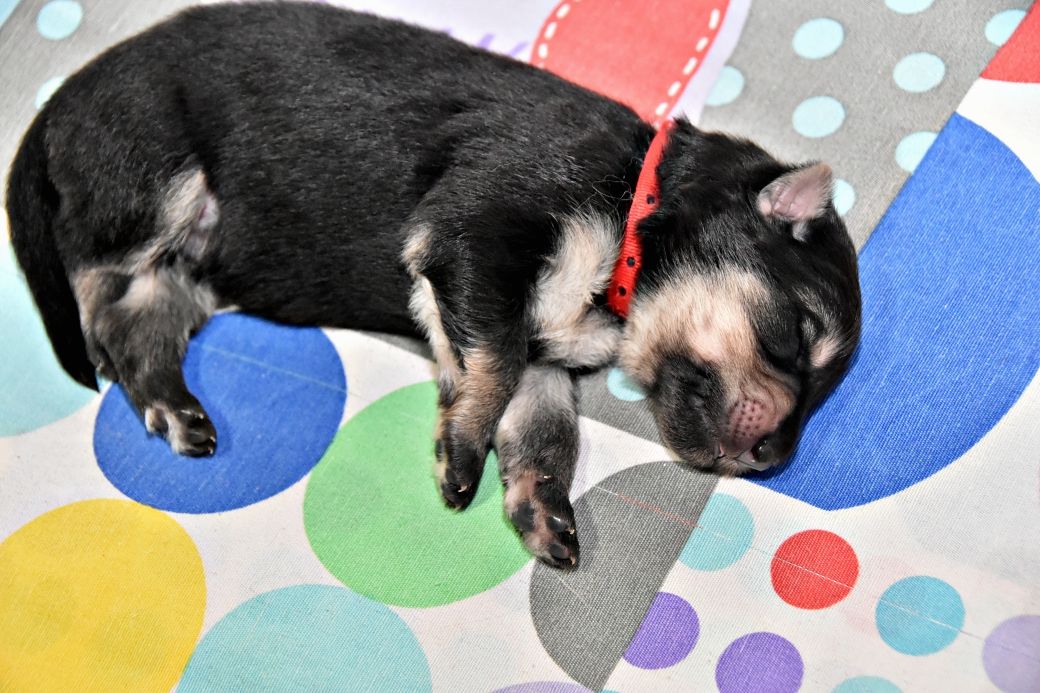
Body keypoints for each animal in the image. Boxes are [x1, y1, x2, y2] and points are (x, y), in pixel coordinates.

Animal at [6, 2, 861, 568]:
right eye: (795, 337)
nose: (774, 458)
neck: (634, 210)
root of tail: (58, 103)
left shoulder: (538, 349)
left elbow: (546, 427)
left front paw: (542, 511)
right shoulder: (477, 235)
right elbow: (495, 362)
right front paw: (460, 453)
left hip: (185, 269)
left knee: (139, 323)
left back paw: (173, 410)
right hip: (155, 179)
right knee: (93, 286)